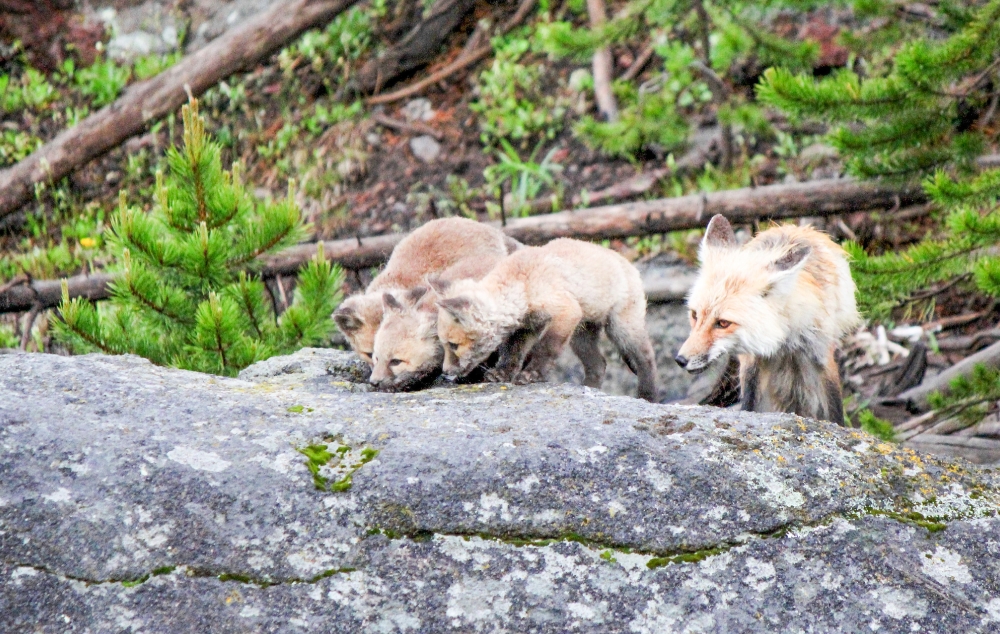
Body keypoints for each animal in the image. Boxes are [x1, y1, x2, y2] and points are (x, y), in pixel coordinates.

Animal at [430, 237, 656, 400]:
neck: (523, 285)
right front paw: (502, 374)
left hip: (621, 327)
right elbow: (512, 352)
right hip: (581, 336)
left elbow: (545, 348)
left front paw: (532, 374)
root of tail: (627, 262)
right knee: (599, 365)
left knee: (646, 356)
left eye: (453, 345)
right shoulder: (527, 326)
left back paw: (647, 396)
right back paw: (590, 389)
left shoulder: (565, 311)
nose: (445, 372)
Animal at [676, 214, 864, 424]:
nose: (681, 360)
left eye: (723, 323)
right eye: (695, 315)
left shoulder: (820, 354)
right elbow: (749, 406)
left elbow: (835, 412)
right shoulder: (752, 364)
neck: (784, 341)